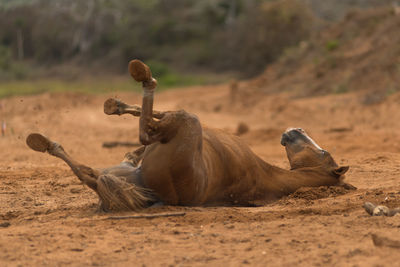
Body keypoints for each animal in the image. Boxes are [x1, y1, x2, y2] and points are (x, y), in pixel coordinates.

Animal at [25, 60, 350, 211]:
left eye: (324, 153)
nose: (296, 129)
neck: (269, 177)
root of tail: (157, 196)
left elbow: (154, 122)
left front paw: (120, 105)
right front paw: (118, 106)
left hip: (184, 127)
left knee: (142, 135)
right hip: (119, 172)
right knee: (88, 173)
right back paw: (46, 142)